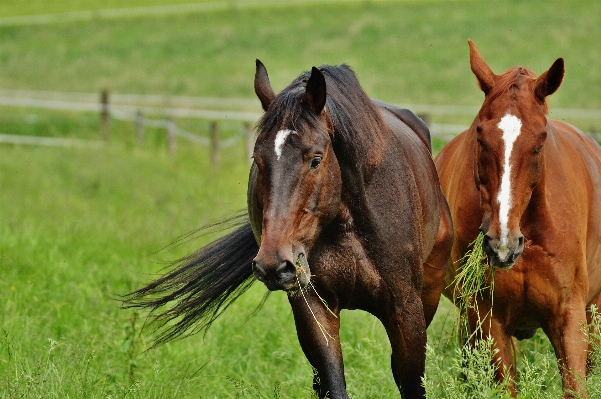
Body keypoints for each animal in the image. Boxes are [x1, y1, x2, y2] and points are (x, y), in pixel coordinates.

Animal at [124, 61, 450, 398]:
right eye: (257, 159)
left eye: (316, 160)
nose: (273, 264)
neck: (348, 226)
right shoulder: (313, 307)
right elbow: (333, 384)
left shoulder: (406, 310)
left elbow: (410, 382)